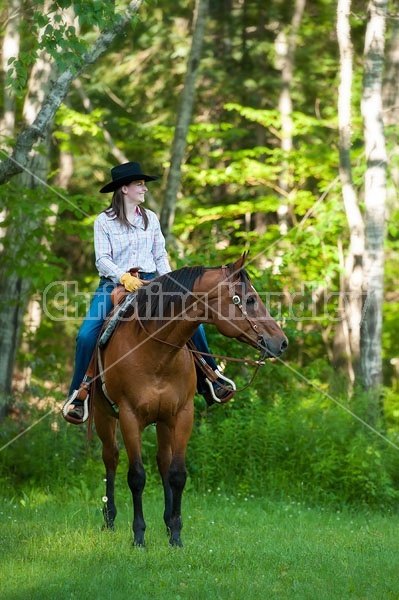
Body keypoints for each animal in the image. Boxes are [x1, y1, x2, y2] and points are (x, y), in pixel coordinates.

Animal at [94, 253, 288, 548]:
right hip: (103, 416)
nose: (282, 342)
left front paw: (175, 534)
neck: (155, 352)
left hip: (163, 421)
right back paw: (109, 519)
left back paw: (164, 522)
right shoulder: (129, 416)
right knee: (111, 458)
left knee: (163, 461)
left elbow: (177, 474)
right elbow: (137, 477)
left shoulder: (183, 415)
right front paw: (139, 536)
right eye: (250, 300)